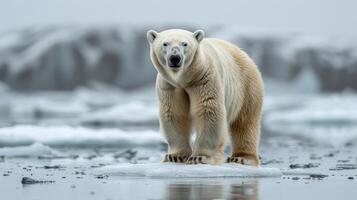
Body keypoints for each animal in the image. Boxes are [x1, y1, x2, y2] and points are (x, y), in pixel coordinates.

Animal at [146, 28, 262, 166]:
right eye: (165, 44)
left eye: (185, 44)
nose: (175, 58)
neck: (184, 79)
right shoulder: (170, 85)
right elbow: (175, 113)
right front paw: (175, 156)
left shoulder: (204, 79)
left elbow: (208, 110)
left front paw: (199, 157)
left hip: (246, 86)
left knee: (245, 122)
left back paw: (242, 158)